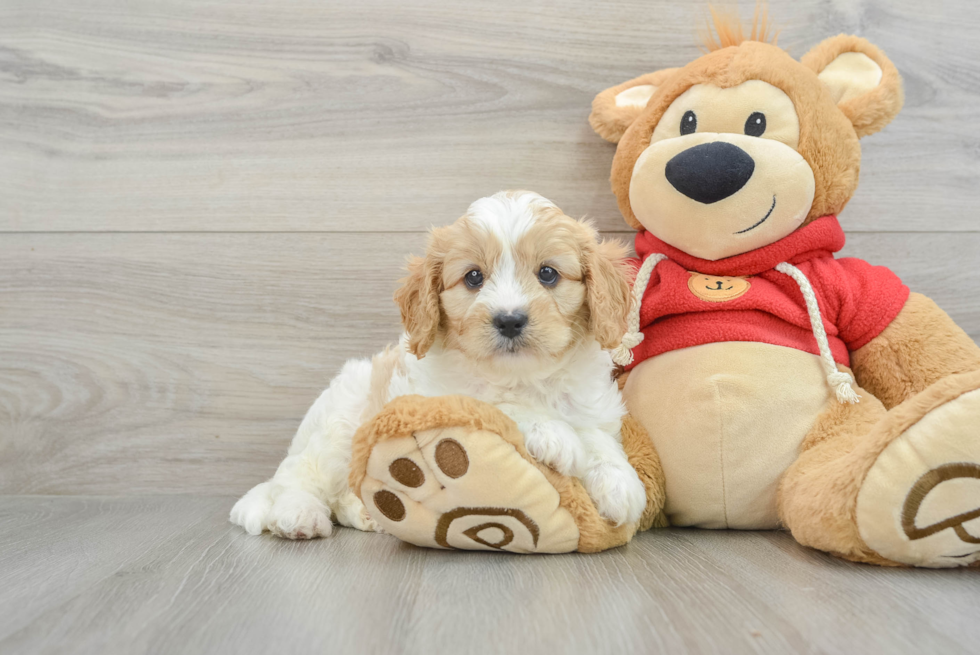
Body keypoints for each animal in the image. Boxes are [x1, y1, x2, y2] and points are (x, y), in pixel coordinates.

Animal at [228, 188, 644, 540]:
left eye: (548, 273)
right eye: (473, 277)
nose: (510, 320)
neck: (522, 377)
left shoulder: (591, 404)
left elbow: (597, 436)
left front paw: (620, 482)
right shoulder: (434, 399)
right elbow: (494, 405)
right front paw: (552, 432)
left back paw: (367, 515)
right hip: (338, 424)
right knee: (298, 479)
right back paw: (299, 515)